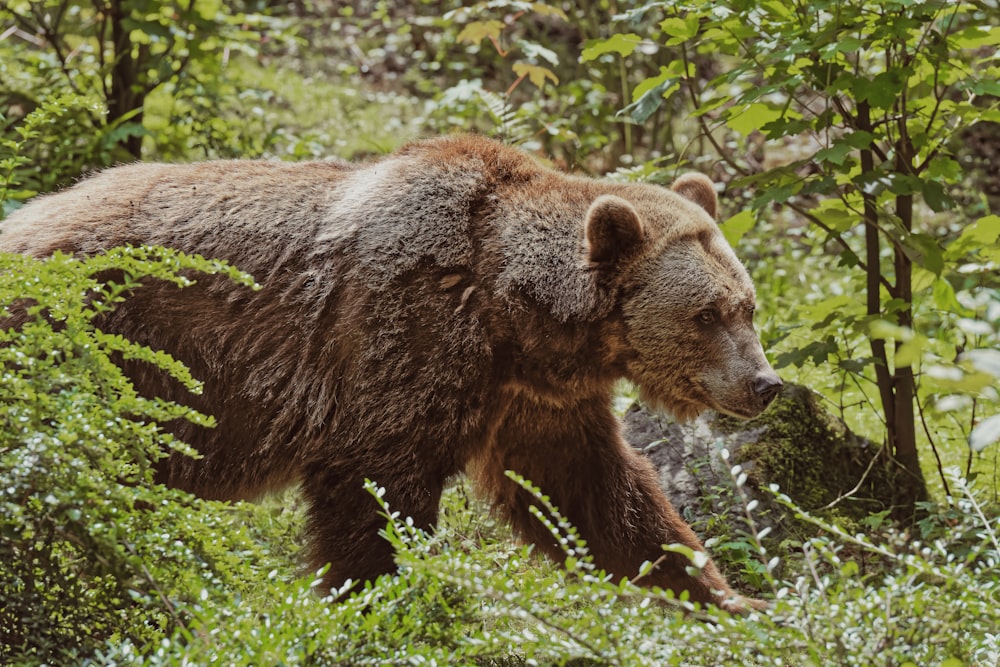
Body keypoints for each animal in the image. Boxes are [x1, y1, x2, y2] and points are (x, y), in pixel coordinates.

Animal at [0, 137, 780, 616]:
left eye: (748, 305)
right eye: (707, 314)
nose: (764, 383)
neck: (514, 314)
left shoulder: (532, 399)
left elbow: (598, 496)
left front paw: (729, 596)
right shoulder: (403, 334)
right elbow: (374, 492)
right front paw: (384, 601)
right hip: (88, 347)